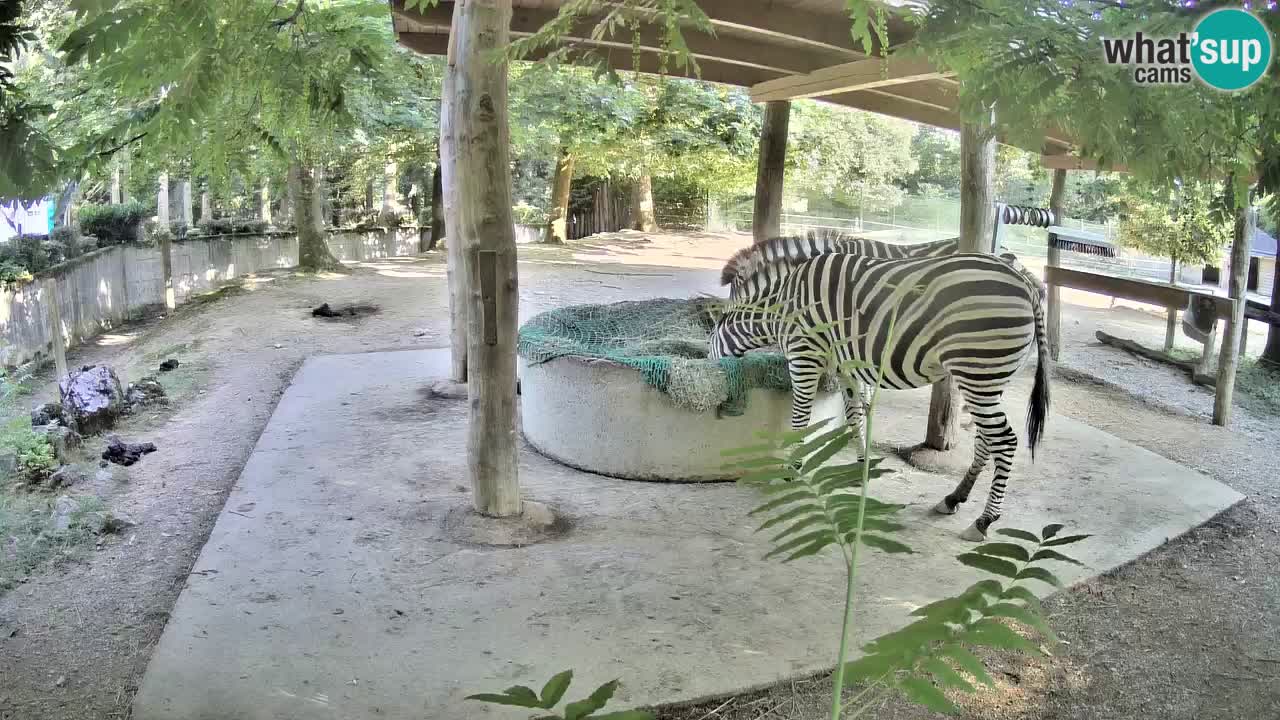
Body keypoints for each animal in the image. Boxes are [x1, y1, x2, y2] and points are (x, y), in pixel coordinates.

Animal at [709, 237, 1050, 541]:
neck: (782, 302)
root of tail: (1025, 281)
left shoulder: (804, 353)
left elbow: (801, 416)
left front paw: (793, 468)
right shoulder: (845, 364)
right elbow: (855, 414)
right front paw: (862, 467)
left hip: (978, 370)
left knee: (1004, 440)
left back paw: (983, 521)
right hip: (988, 378)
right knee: (985, 440)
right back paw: (953, 498)